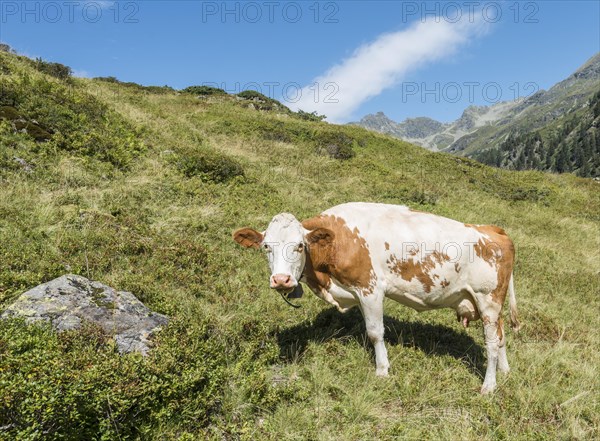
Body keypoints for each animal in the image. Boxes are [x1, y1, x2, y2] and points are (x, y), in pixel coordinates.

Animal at [234, 202, 520, 392]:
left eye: (300, 245)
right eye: (266, 246)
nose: (281, 280)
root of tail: (493, 230)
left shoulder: (370, 289)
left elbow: (374, 332)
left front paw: (382, 370)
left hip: (487, 299)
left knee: (491, 343)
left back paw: (489, 385)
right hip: (492, 304)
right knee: (501, 336)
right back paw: (505, 371)